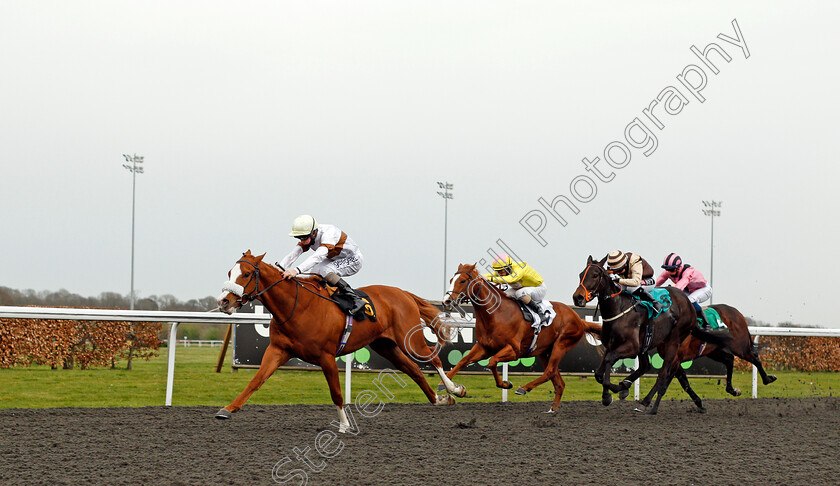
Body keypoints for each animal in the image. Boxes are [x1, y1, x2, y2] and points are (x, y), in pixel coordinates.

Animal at [213, 251, 462, 430]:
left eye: (246, 274)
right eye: (229, 272)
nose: (224, 301)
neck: (297, 306)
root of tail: (403, 293)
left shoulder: (326, 356)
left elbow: (336, 392)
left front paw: (344, 424)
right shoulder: (278, 349)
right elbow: (256, 381)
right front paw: (228, 408)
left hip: (409, 340)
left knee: (433, 358)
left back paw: (454, 389)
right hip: (386, 345)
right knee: (414, 370)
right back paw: (439, 399)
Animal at [440, 264, 604, 412]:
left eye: (462, 281)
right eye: (451, 280)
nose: (446, 301)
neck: (496, 314)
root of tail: (579, 319)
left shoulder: (513, 350)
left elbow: (492, 362)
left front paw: (506, 384)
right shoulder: (484, 347)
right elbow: (463, 360)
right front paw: (450, 387)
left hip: (561, 344)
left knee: (549, 371)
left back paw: (524, 388)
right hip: (545, 352)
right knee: (558, 381)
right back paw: (553, 408)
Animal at [572, 254, 728, 414]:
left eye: (595, 275)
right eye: (580, 275)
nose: (578, 298)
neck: (619, 309)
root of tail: (689, 304)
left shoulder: (631, 347)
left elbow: (609, 361)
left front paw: (609, 394)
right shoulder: (611, 345)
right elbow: (598, 373)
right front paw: (615, 390)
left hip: (673, 342)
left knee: (663, 374)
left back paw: (646, 403)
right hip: (648, 344)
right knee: (646, 366)